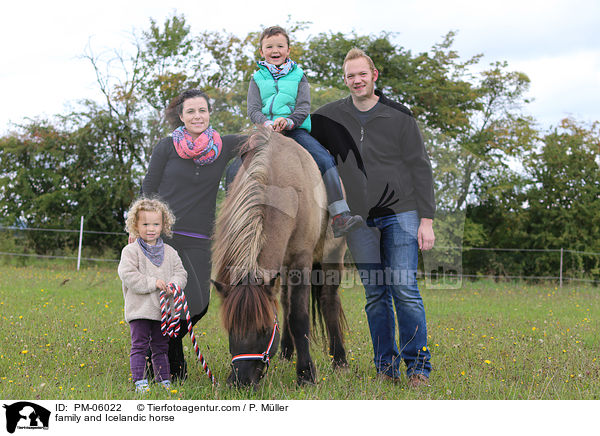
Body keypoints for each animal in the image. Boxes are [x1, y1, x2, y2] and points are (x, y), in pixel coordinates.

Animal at [214, 127, 346, 386]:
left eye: (265, 329)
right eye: (231, 328)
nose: (240, 381)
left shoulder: (302, 261)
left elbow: (299, 316)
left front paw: (306, 374)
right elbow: (287, 308)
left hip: (332, 254)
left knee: (329, 300)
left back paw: (339, 359)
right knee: (285, 300)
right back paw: (287, 352)